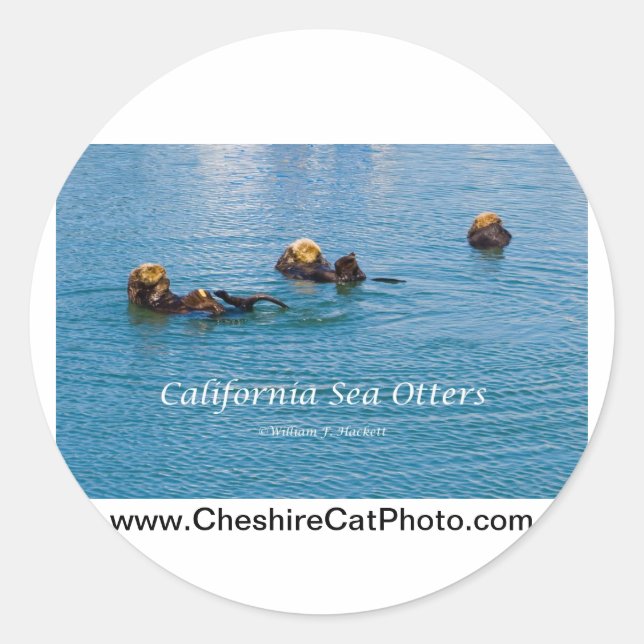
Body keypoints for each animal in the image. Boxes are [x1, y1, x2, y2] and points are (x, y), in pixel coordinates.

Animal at [127, 263, 288, 315]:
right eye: (150, 269)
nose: (163, 269)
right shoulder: (145, 296)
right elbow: (156, 293)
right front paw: (164, 281)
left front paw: (166, 279)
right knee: (217, 308)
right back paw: (199, 296)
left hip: (237, 305)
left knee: (234, 302)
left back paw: (217, 293)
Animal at [275, 239, 404, 284]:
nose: (319, 255)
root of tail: (350, 277)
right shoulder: (284, 263)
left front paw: (323, 260)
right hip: (328, 276)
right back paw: (349, 260)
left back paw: (351, 259)